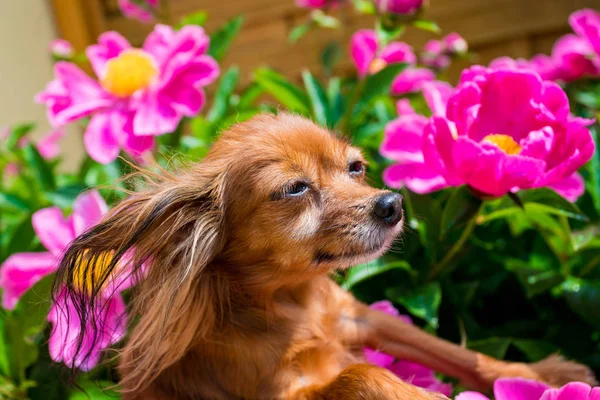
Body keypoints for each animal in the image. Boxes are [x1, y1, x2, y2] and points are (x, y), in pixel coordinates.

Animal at [55, 113, 596, 400]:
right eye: (295, 189)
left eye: (355, 167)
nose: (393, 204)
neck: (293, 304)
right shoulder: (284, 394)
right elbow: (360, 373)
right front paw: (420, 394)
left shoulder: (362, 318)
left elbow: (462, 353)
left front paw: (543, 376)